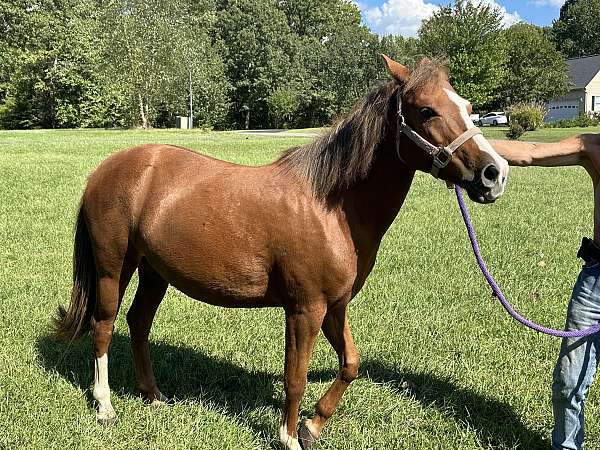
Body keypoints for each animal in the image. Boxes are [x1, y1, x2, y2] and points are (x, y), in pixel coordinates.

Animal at [54, 57, 508, 450]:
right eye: (427, 110)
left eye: (469, 108)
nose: (495, 174)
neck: (331, 208)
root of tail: (105, 169)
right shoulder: (305, 309)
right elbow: (296, 377)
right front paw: (289, 437)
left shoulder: (335, 305)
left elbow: (350, 363)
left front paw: (312, 425)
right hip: (114, 267)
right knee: (104, 325)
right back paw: (105, 407)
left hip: (155, 272)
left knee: (139, 322)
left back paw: (153, 395)